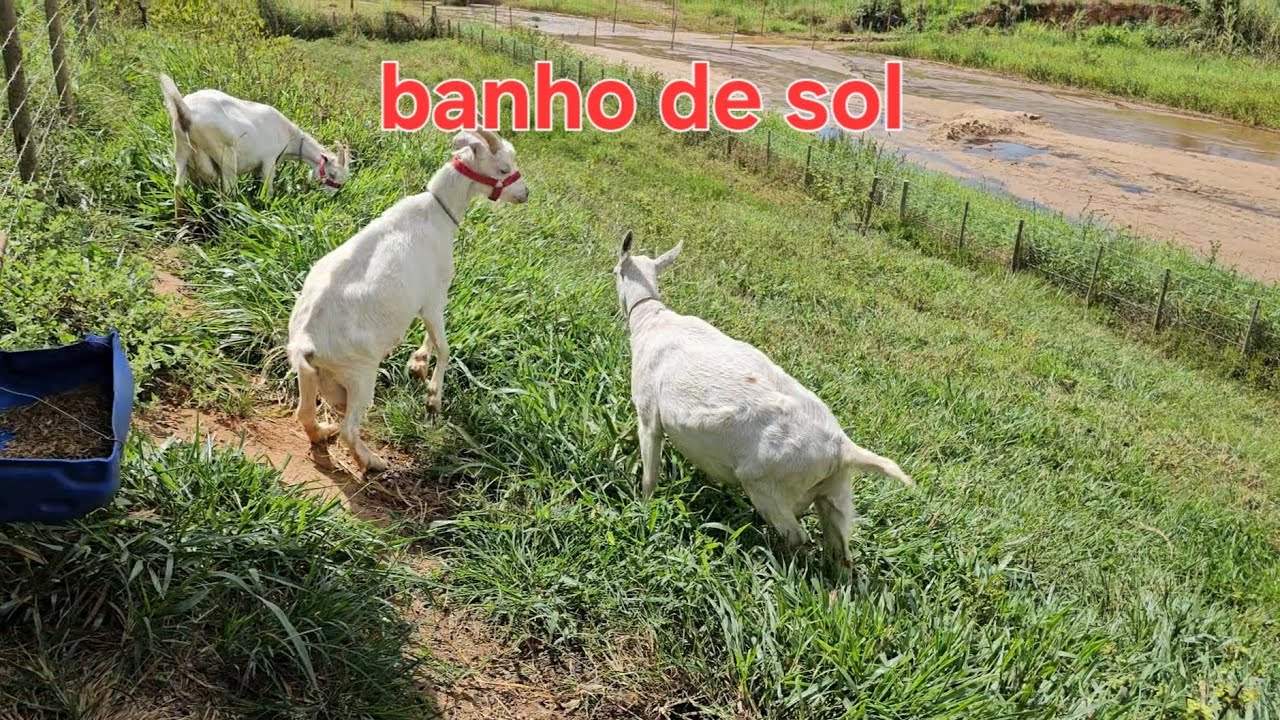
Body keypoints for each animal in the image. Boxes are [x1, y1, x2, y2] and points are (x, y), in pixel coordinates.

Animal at [158, 74, 350, 217]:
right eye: (332, 174)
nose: (328, 198)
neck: (289, 136)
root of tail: (186, 112)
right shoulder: (269, 160)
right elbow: (268, 188)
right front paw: (267, 207)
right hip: (226, 153)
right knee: (228, 189)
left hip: (181, 147)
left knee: (178, 186)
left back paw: (181, 219)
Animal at [286, 129, 528, 474]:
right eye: (504, 168)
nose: (525, 193)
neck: (436, 212)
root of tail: (305, 340)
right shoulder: (435, 294)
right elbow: (443, 344)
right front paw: (433, 396)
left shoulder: (425, 300)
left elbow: (431, 335)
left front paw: (417, 364)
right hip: (360, 372)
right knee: (350, 427)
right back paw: (371, 461)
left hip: (311, 374)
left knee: (305, 413)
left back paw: (323, 432)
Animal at [614, 231, 913, 566]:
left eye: (614, 271)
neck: (651, 319)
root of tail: (842, 449)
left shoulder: (649, 414)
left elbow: (649, 473)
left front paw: (642, 505)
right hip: (834, 494)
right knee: (842, 553)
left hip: (768, 487)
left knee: (798, 537)